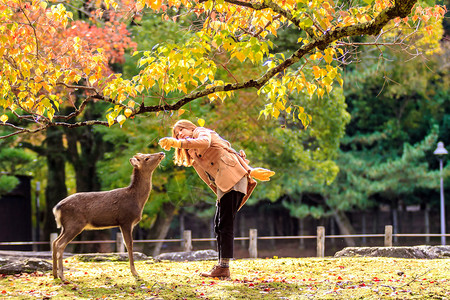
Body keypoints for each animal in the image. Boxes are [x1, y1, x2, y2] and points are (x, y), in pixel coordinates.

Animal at [52, 152, 165, 282]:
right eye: (146, 158)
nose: (162, 153)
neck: (137, 199)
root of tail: (57, 208)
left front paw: (134, 272)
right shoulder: (125, 220)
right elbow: (129, 244)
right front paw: (135, 273)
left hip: (65, 226)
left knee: (54, 242)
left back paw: (55, 274)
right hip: (75, 224)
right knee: (60, 244)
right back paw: (62, 276)